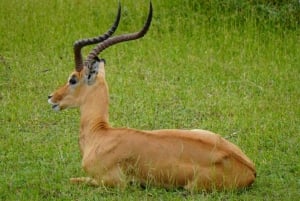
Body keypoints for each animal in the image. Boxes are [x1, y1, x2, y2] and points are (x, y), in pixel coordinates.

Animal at [47, 3, 255, 192]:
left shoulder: (113, 183)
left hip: (191, 188)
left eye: (73, 79)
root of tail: (251, 171)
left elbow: (73, 179)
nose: (51, 97)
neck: (100, 134)